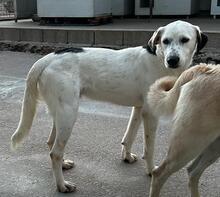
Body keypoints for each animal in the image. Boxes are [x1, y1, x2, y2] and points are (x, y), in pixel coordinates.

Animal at [11, 20, 207, 193]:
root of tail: (48, 58)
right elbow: (149, 148)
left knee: (51, 143)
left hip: (60, 112)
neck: (159, 58)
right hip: (68, 114)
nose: (172, 60)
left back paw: (64, 165)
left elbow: (129, 137)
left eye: (185, 39)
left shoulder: (139, 108)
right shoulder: (150, 113)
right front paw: (151, 171)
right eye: (165, 41)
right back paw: (62, 185)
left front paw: (126, 157)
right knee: (55, 153)